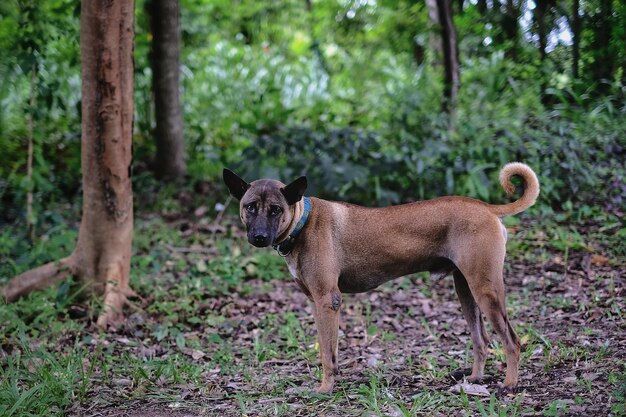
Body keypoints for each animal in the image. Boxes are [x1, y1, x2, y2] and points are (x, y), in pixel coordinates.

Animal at [223, 162, 536, 394]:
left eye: (276, 209)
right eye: (250, 207)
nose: (259, 237)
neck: (303, 221)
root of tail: (486, 207)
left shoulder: (327, 301)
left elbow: (326, 356)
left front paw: (325, 390)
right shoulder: (318, 304)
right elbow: (329, 351)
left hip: (486, 291)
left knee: (512, 341)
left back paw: (509, 385)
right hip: (466, 291)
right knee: (482, 340)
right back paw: (475, 379)